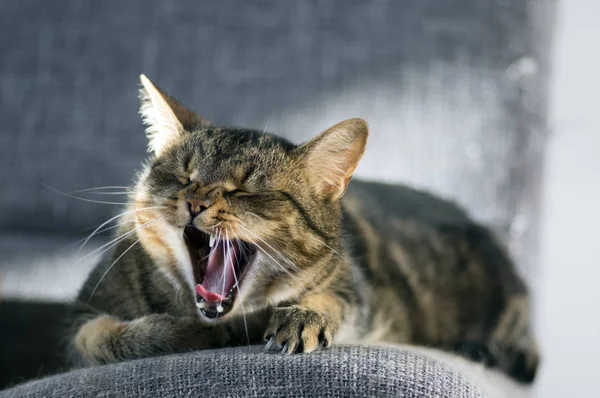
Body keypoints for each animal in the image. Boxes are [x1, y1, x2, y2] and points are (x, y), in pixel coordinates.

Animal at [69, 74, 540, 382]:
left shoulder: (355, 291)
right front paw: (189, 332)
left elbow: (332, 300)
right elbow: (105, 337)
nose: (195, 201)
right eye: (185, 176)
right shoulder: (82, 319)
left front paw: (302, 316)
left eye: (244, 190)